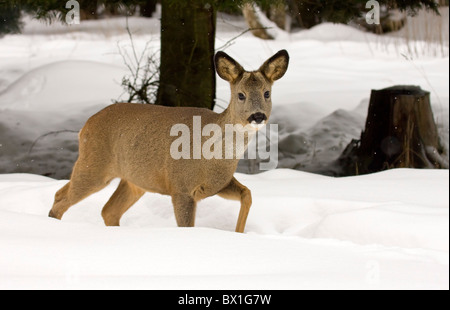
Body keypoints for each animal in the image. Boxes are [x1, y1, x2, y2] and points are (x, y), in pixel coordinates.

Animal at [48, 49, 288, 232]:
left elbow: (247, 193)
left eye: (267, 93)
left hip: (135, 180)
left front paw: (239, 234)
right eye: (241, 95)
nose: (258, 116)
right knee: (61, 197)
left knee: (107, 210)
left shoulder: (218, 183)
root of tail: (85, 126)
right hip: (94, 165)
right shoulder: (181, 187)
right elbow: (187, 227)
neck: (214, 158)